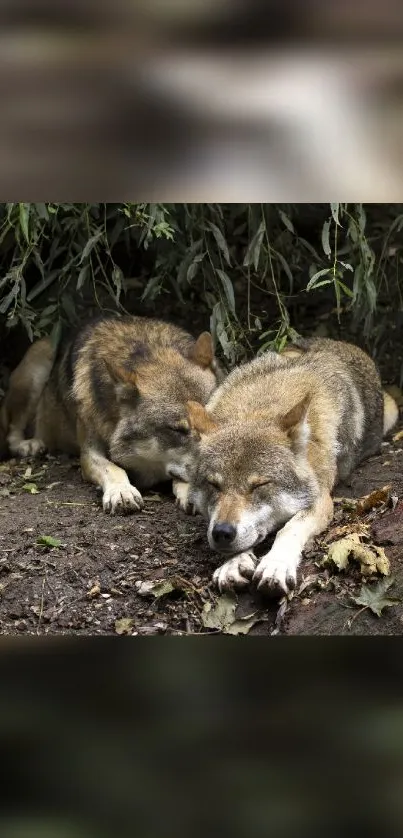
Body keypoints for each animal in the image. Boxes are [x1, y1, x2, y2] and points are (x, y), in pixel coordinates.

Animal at [0, 316, 221, 512]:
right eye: (177, 430)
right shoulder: (89, 454)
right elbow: (113, 468)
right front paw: (121, 492)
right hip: (40, 361)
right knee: (12, 430)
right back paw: (28, 445)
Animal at [174, 338, 400, 600]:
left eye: (260, 485)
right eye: (213, 485)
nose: (222, 533)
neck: (259, 407)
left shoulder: (321, 499)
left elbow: (290, 528)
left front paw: (276, 565)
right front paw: (232, 563)